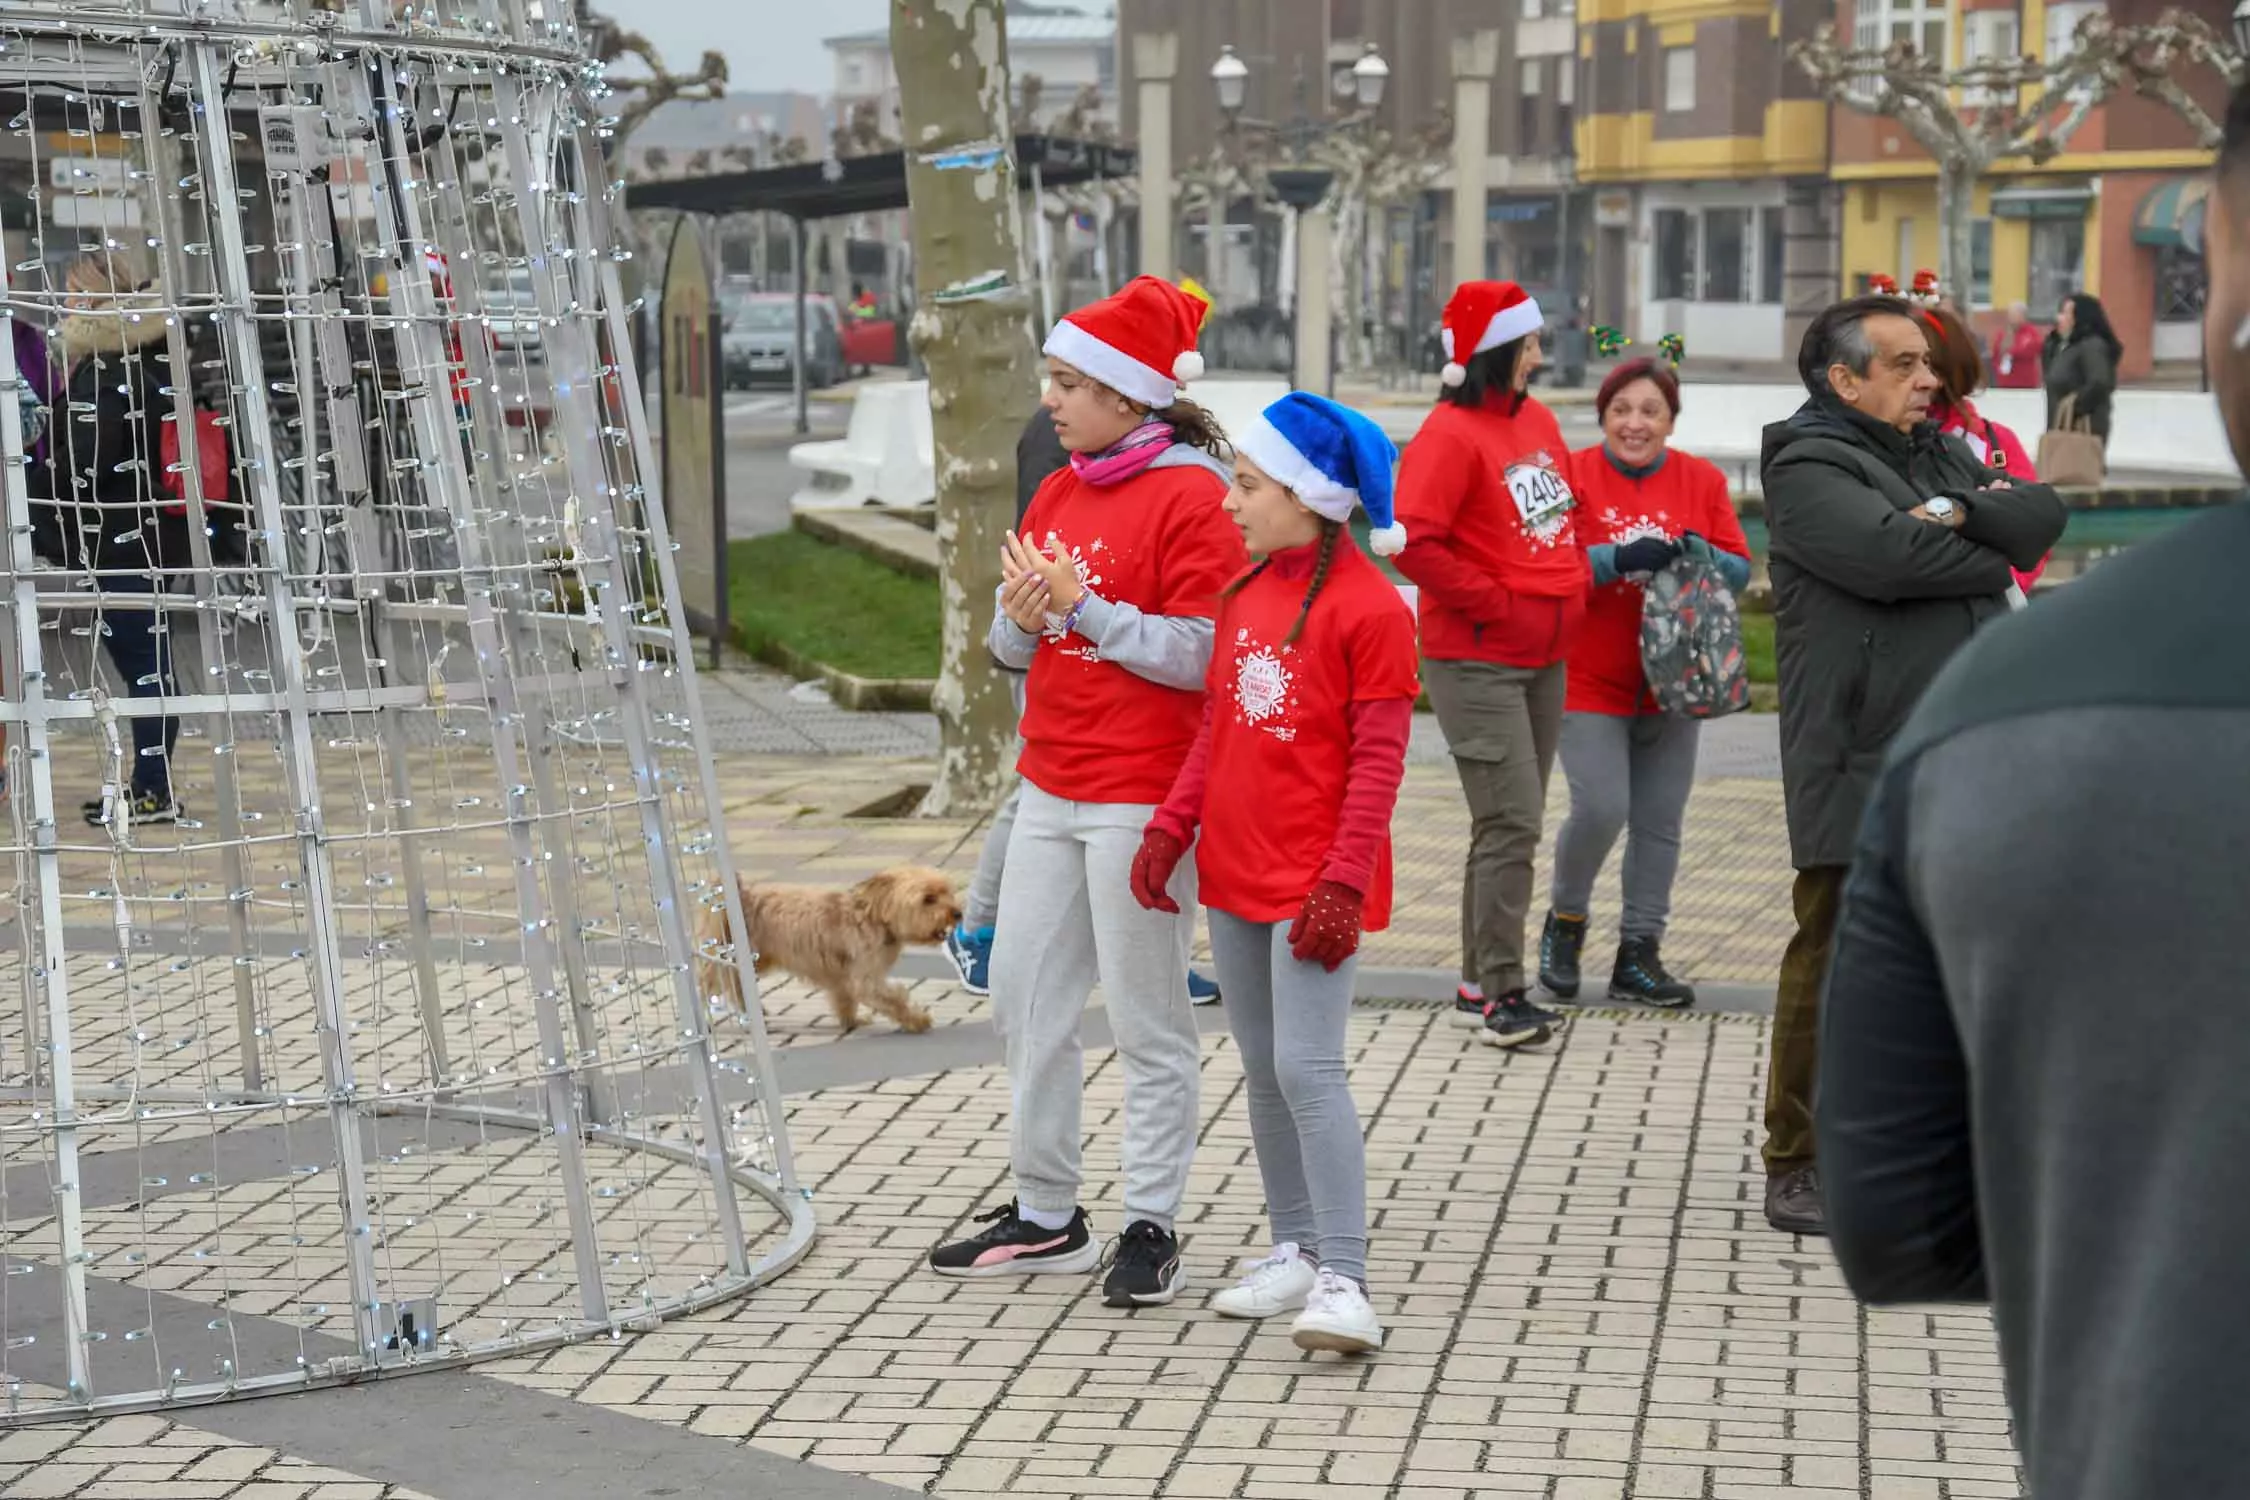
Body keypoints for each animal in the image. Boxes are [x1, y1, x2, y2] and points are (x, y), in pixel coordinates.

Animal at [693, 868, 958, 1034]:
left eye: (947, 891)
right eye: (928, 899)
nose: (957, 913)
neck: (874, 917)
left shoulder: (844, 977)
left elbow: (845, 1000)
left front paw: (851, 1020)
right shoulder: (866, 979)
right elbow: (895, 998)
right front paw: (917, 1019)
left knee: (735, 984)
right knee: (706, 984)